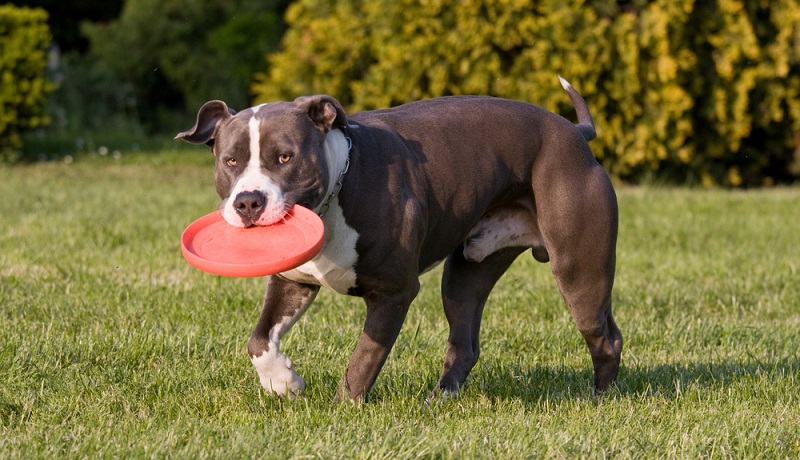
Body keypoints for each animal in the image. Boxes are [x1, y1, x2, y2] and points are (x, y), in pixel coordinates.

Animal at [178, 77, 620, 400]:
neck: (338, 189)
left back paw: (600, 398)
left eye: (285, 157)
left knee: (605, 336)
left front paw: (344, 409)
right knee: (464, 341)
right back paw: (440, 400)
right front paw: (282, 382)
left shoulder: (393, 293)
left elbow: (363, 359)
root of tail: (574, 132)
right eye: (230, 161)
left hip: (579, 270)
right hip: (467, 272)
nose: (248, 201)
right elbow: (259, 340)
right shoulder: (293, 282)